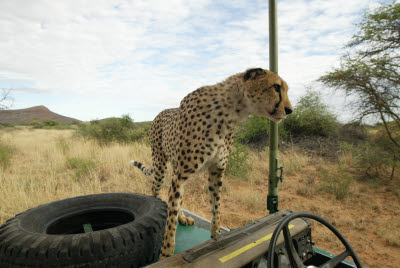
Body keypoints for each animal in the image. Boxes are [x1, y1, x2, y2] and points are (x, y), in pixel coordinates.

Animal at [130, 68, 290, 258]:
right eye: (276, 87)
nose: (289, 110)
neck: (231, 112)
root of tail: (159, 114)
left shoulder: (216, 170)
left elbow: (216, 204)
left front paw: (216, 235)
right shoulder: (182, 174)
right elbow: (171, 217)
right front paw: (166, 253)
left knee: (174, 195)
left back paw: (183, 217)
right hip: (161, 162)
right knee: (157, 190)